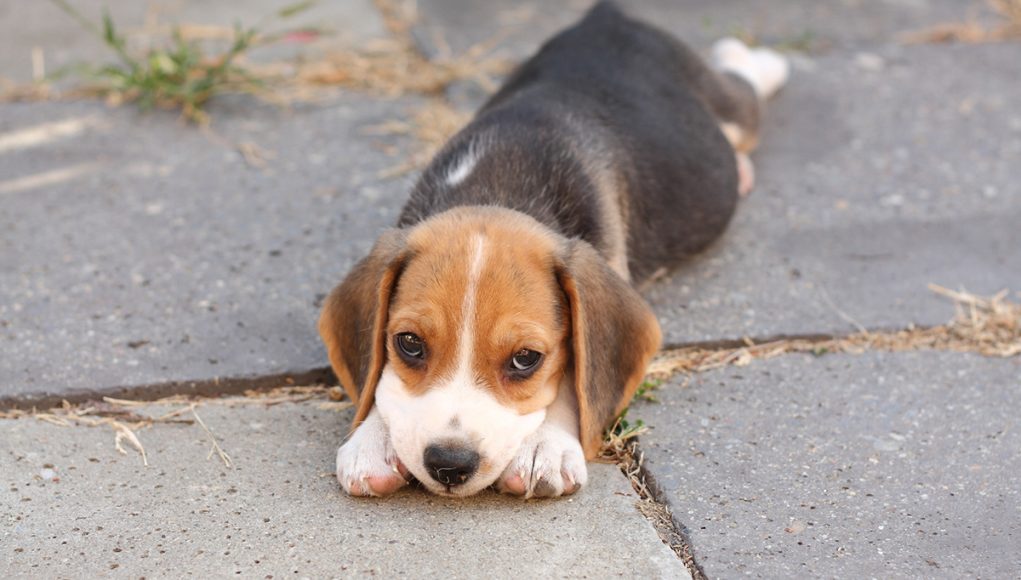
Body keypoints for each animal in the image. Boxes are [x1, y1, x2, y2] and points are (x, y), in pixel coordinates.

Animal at [318, 0, 788, 498]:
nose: (449, 464)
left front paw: (544, 446)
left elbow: (574, 380)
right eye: (409, 344)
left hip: (729, 108)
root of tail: (606, 17)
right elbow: (379, 380)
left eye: (526, 359)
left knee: (745, 87)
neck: (500, 187)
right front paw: (372, 438)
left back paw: (752, 61)